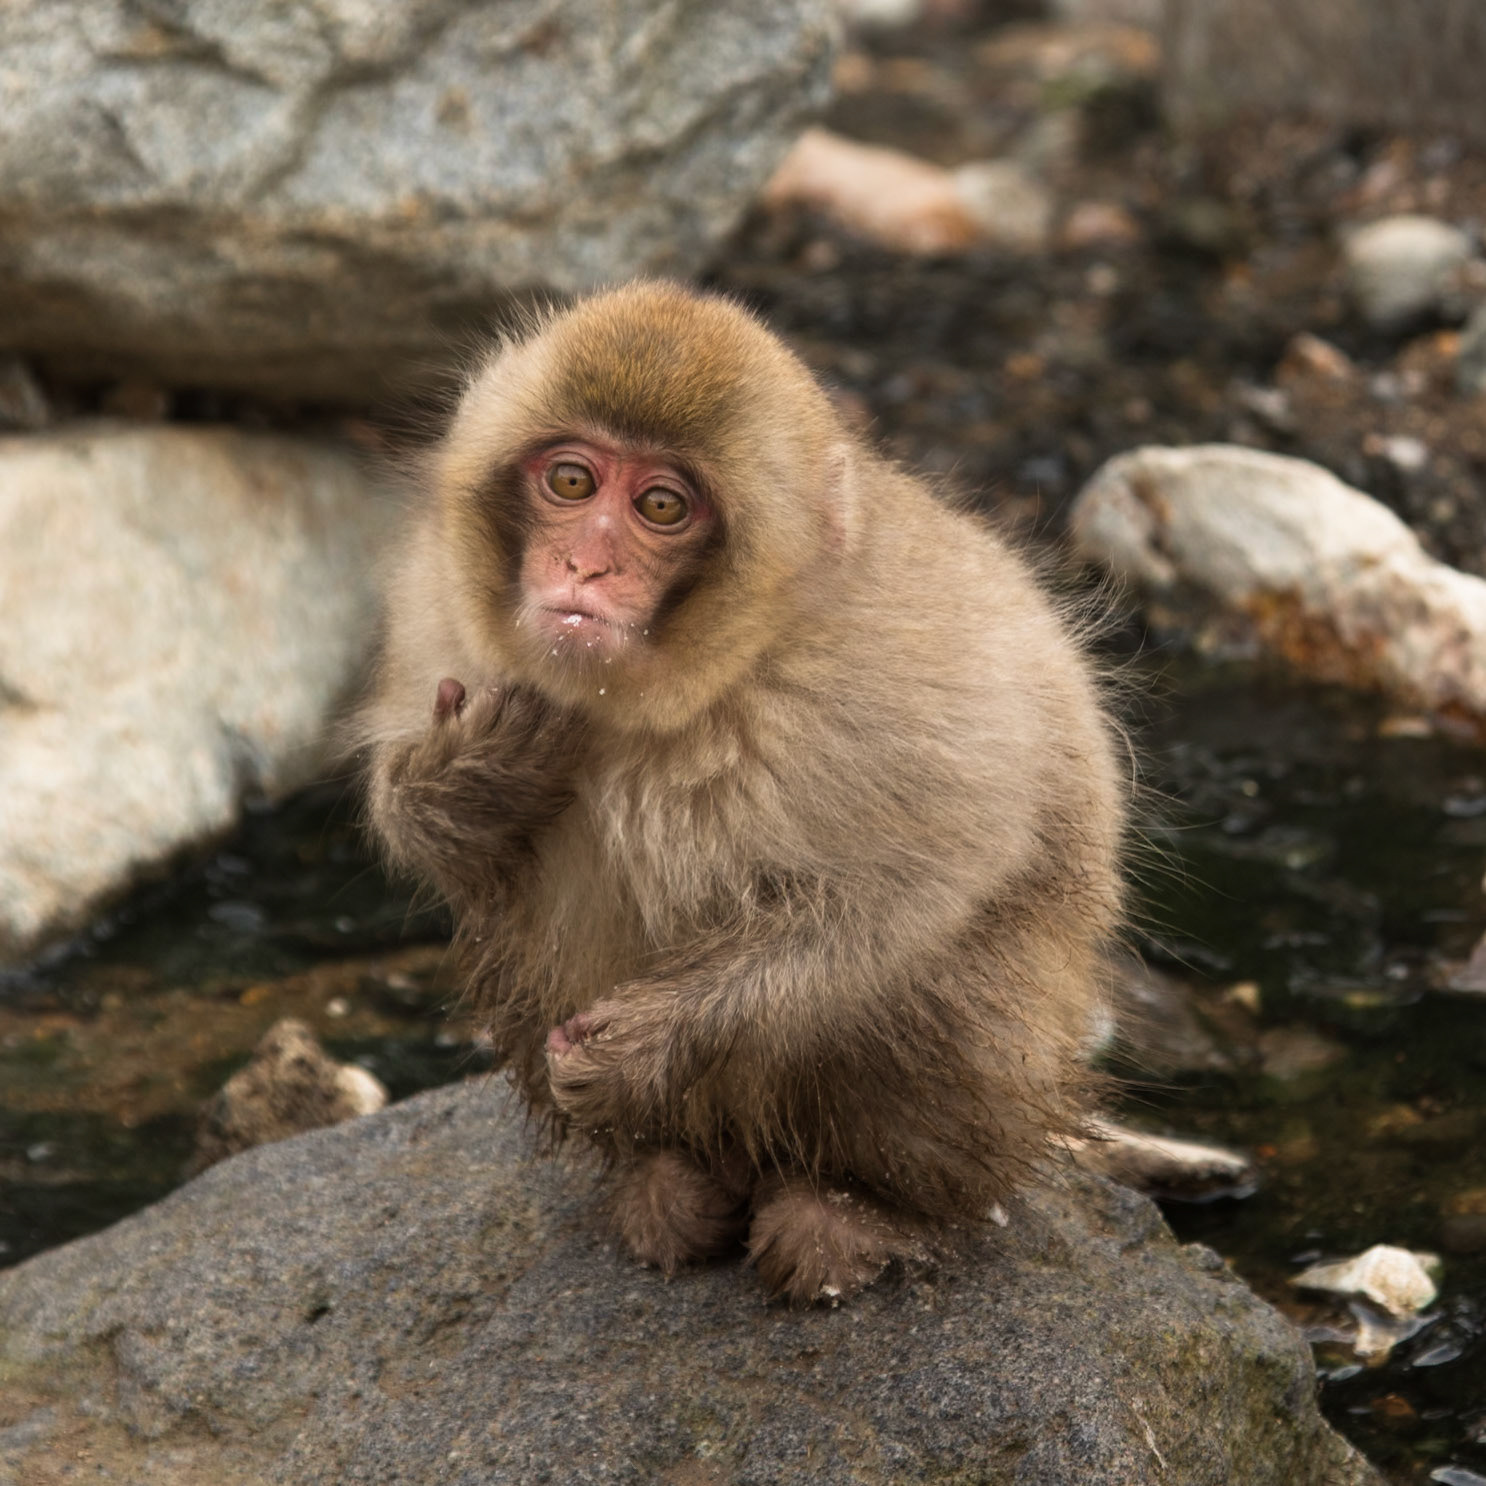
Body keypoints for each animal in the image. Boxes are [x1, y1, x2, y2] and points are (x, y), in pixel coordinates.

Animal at [355, 282, 1126, 1305]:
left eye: (661, 505)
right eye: (572, 483)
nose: (585, 567)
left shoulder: (895, 672)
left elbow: (920, 891)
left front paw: (645, 1044)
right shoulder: (435, 603)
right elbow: (414, 812)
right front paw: (474, 782)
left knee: (937, 983)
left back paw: (869, 1211)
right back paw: (664, 1172)